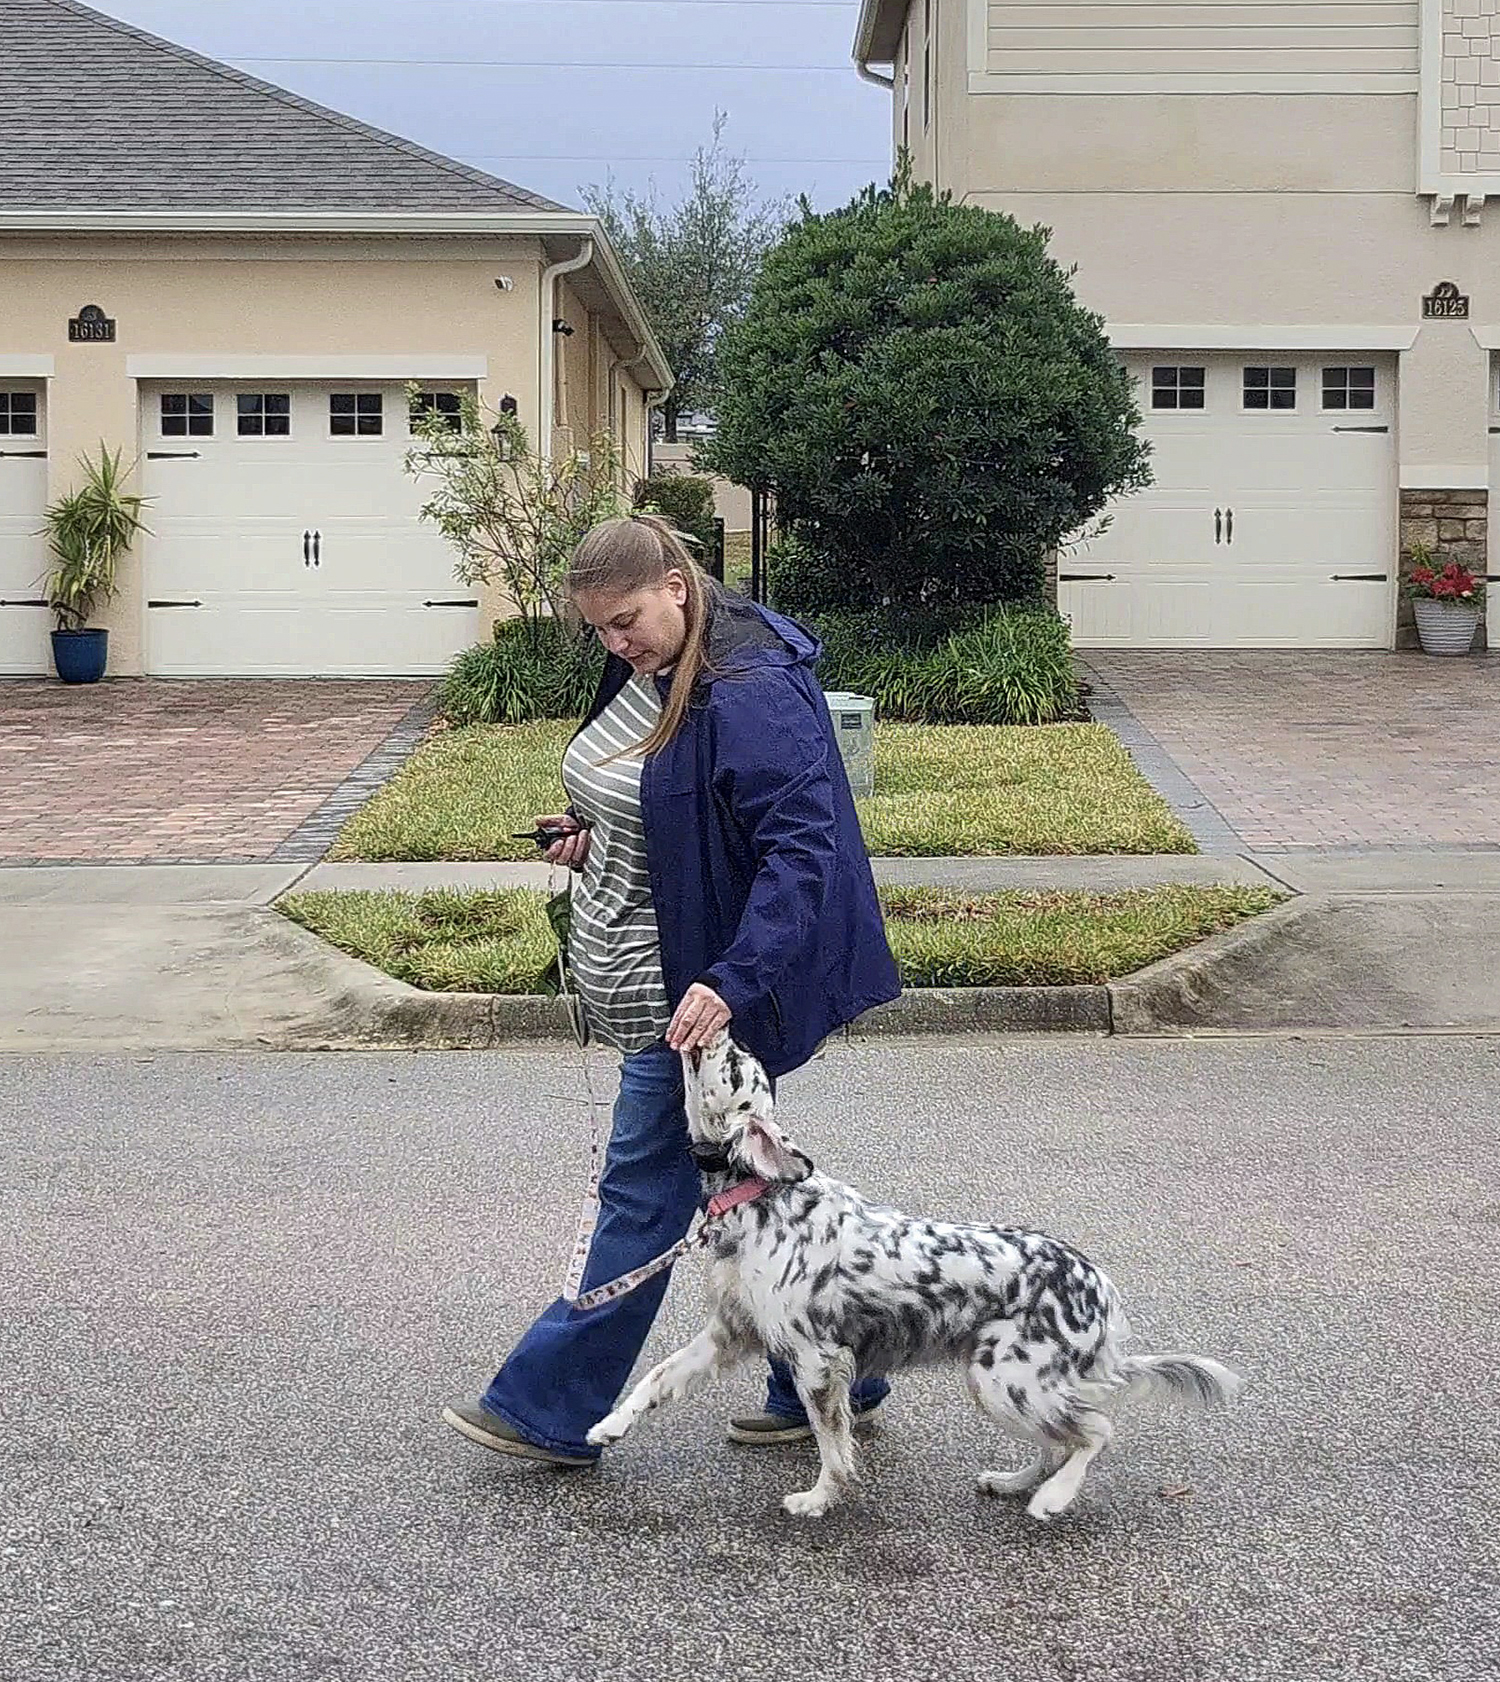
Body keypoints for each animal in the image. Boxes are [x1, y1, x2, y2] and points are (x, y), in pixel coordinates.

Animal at [585, 1029, 1244, 1520]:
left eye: (735, 1061)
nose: (722, 1023)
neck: (757, 1193)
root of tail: (1097, 1285)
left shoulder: (818, 1359)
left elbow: (832, 1444)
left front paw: (819, 1499)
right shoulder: (731, 1334)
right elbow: (655, 1378)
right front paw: (607, 1425)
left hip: (1009, 1380)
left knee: (1094, 1431)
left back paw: (1052, 1499)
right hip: (1002, 1383)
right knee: (1059, 1441)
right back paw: (1013, 1482)